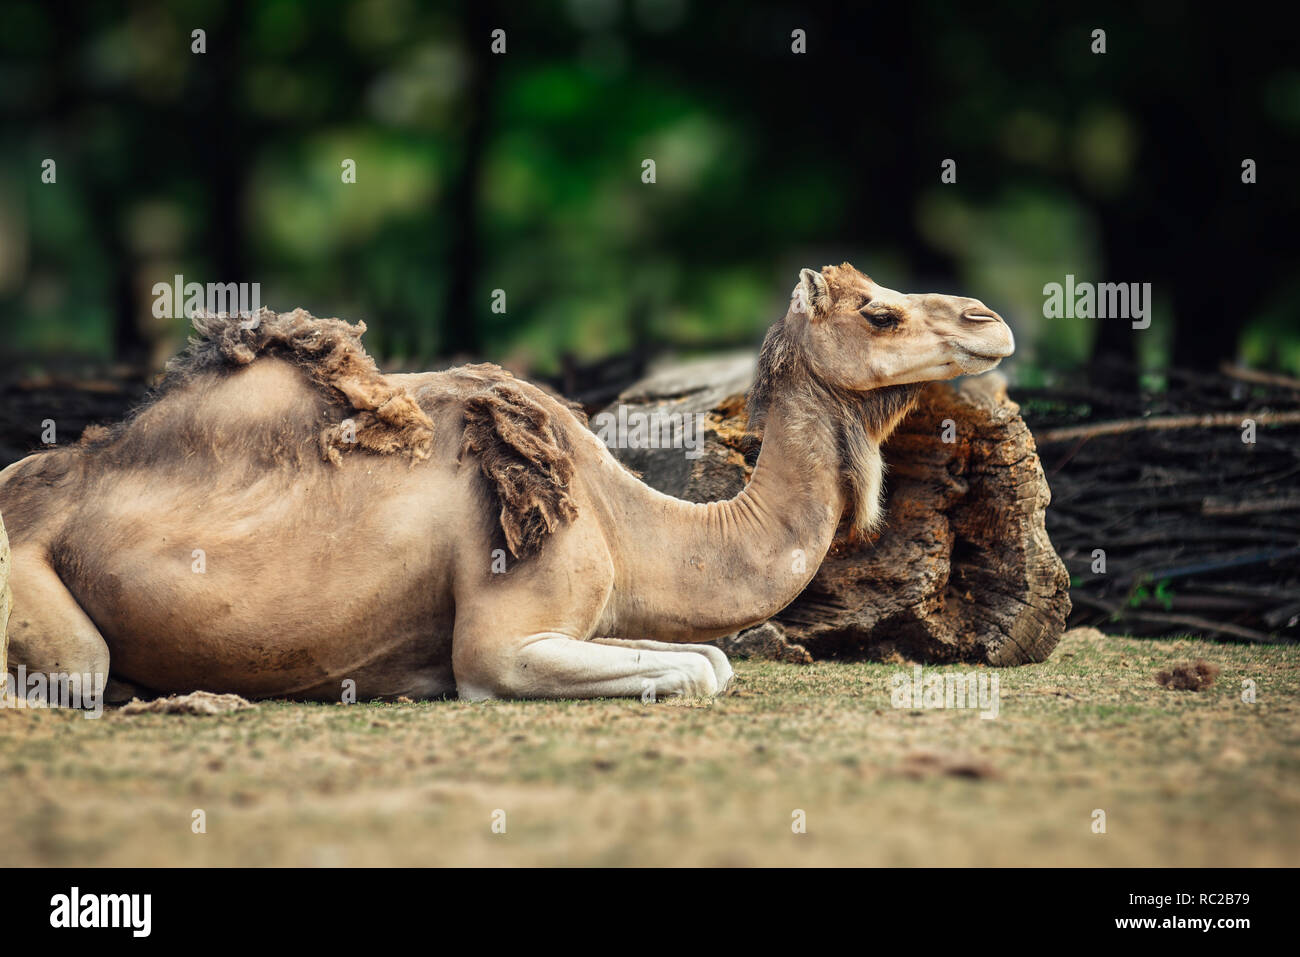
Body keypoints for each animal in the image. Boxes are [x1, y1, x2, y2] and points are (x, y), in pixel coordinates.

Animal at [0, 261, 1013, 702]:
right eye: (879, 311)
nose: (990, 318)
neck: (624, 519)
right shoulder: (504, 638)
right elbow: (698, 669)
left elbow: (713, 658)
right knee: (78, 673)